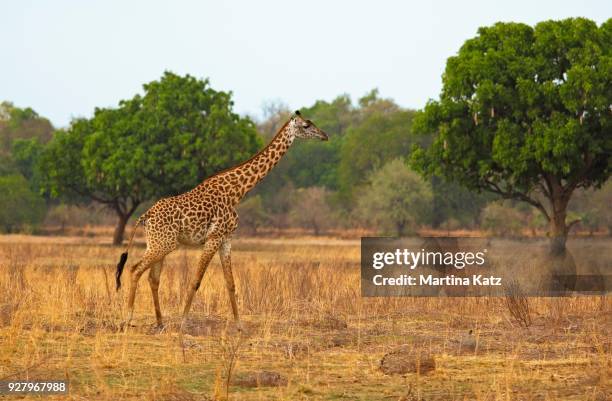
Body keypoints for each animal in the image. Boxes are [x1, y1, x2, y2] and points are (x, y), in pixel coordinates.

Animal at [114, 109, 326, 328]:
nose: (324, 136)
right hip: (163, 244)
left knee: (152, 278)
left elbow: (230, 283)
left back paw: (160, 322)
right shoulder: (213, 237)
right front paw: (183, 322)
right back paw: (127, 319)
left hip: (158, 243)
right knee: (135, 270)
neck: (237, 191)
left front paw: (239, 325)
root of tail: (145, 216)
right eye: (306, 125)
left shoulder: (226, 239)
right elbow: (196, 280)